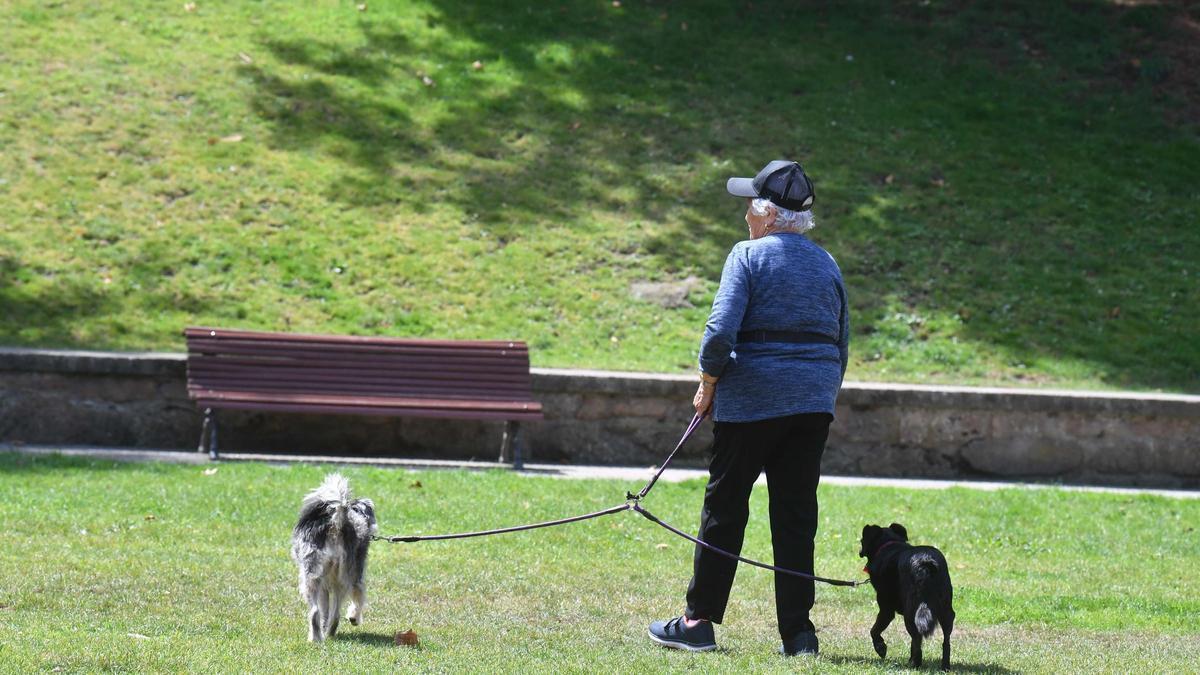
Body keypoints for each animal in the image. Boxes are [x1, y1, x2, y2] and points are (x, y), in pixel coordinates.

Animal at [291, 470, 376, 638]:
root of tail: (337, 525)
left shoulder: (325, 585)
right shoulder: (355, 575)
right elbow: (357, 598)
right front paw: (354, 618)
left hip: (313, 576)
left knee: (316, 611)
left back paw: (318, 637)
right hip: (342, 576)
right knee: (334, 613)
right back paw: (327, 634)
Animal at [864, 521, 955, 667]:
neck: (889, 544)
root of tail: (925, 563)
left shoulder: (886, 610)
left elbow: (874, 630)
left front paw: (880, 647)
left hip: (910, 612)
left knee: (917, 638)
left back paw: (914, 663)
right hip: (946, 612)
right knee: (945, 642)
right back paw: (944, 666)